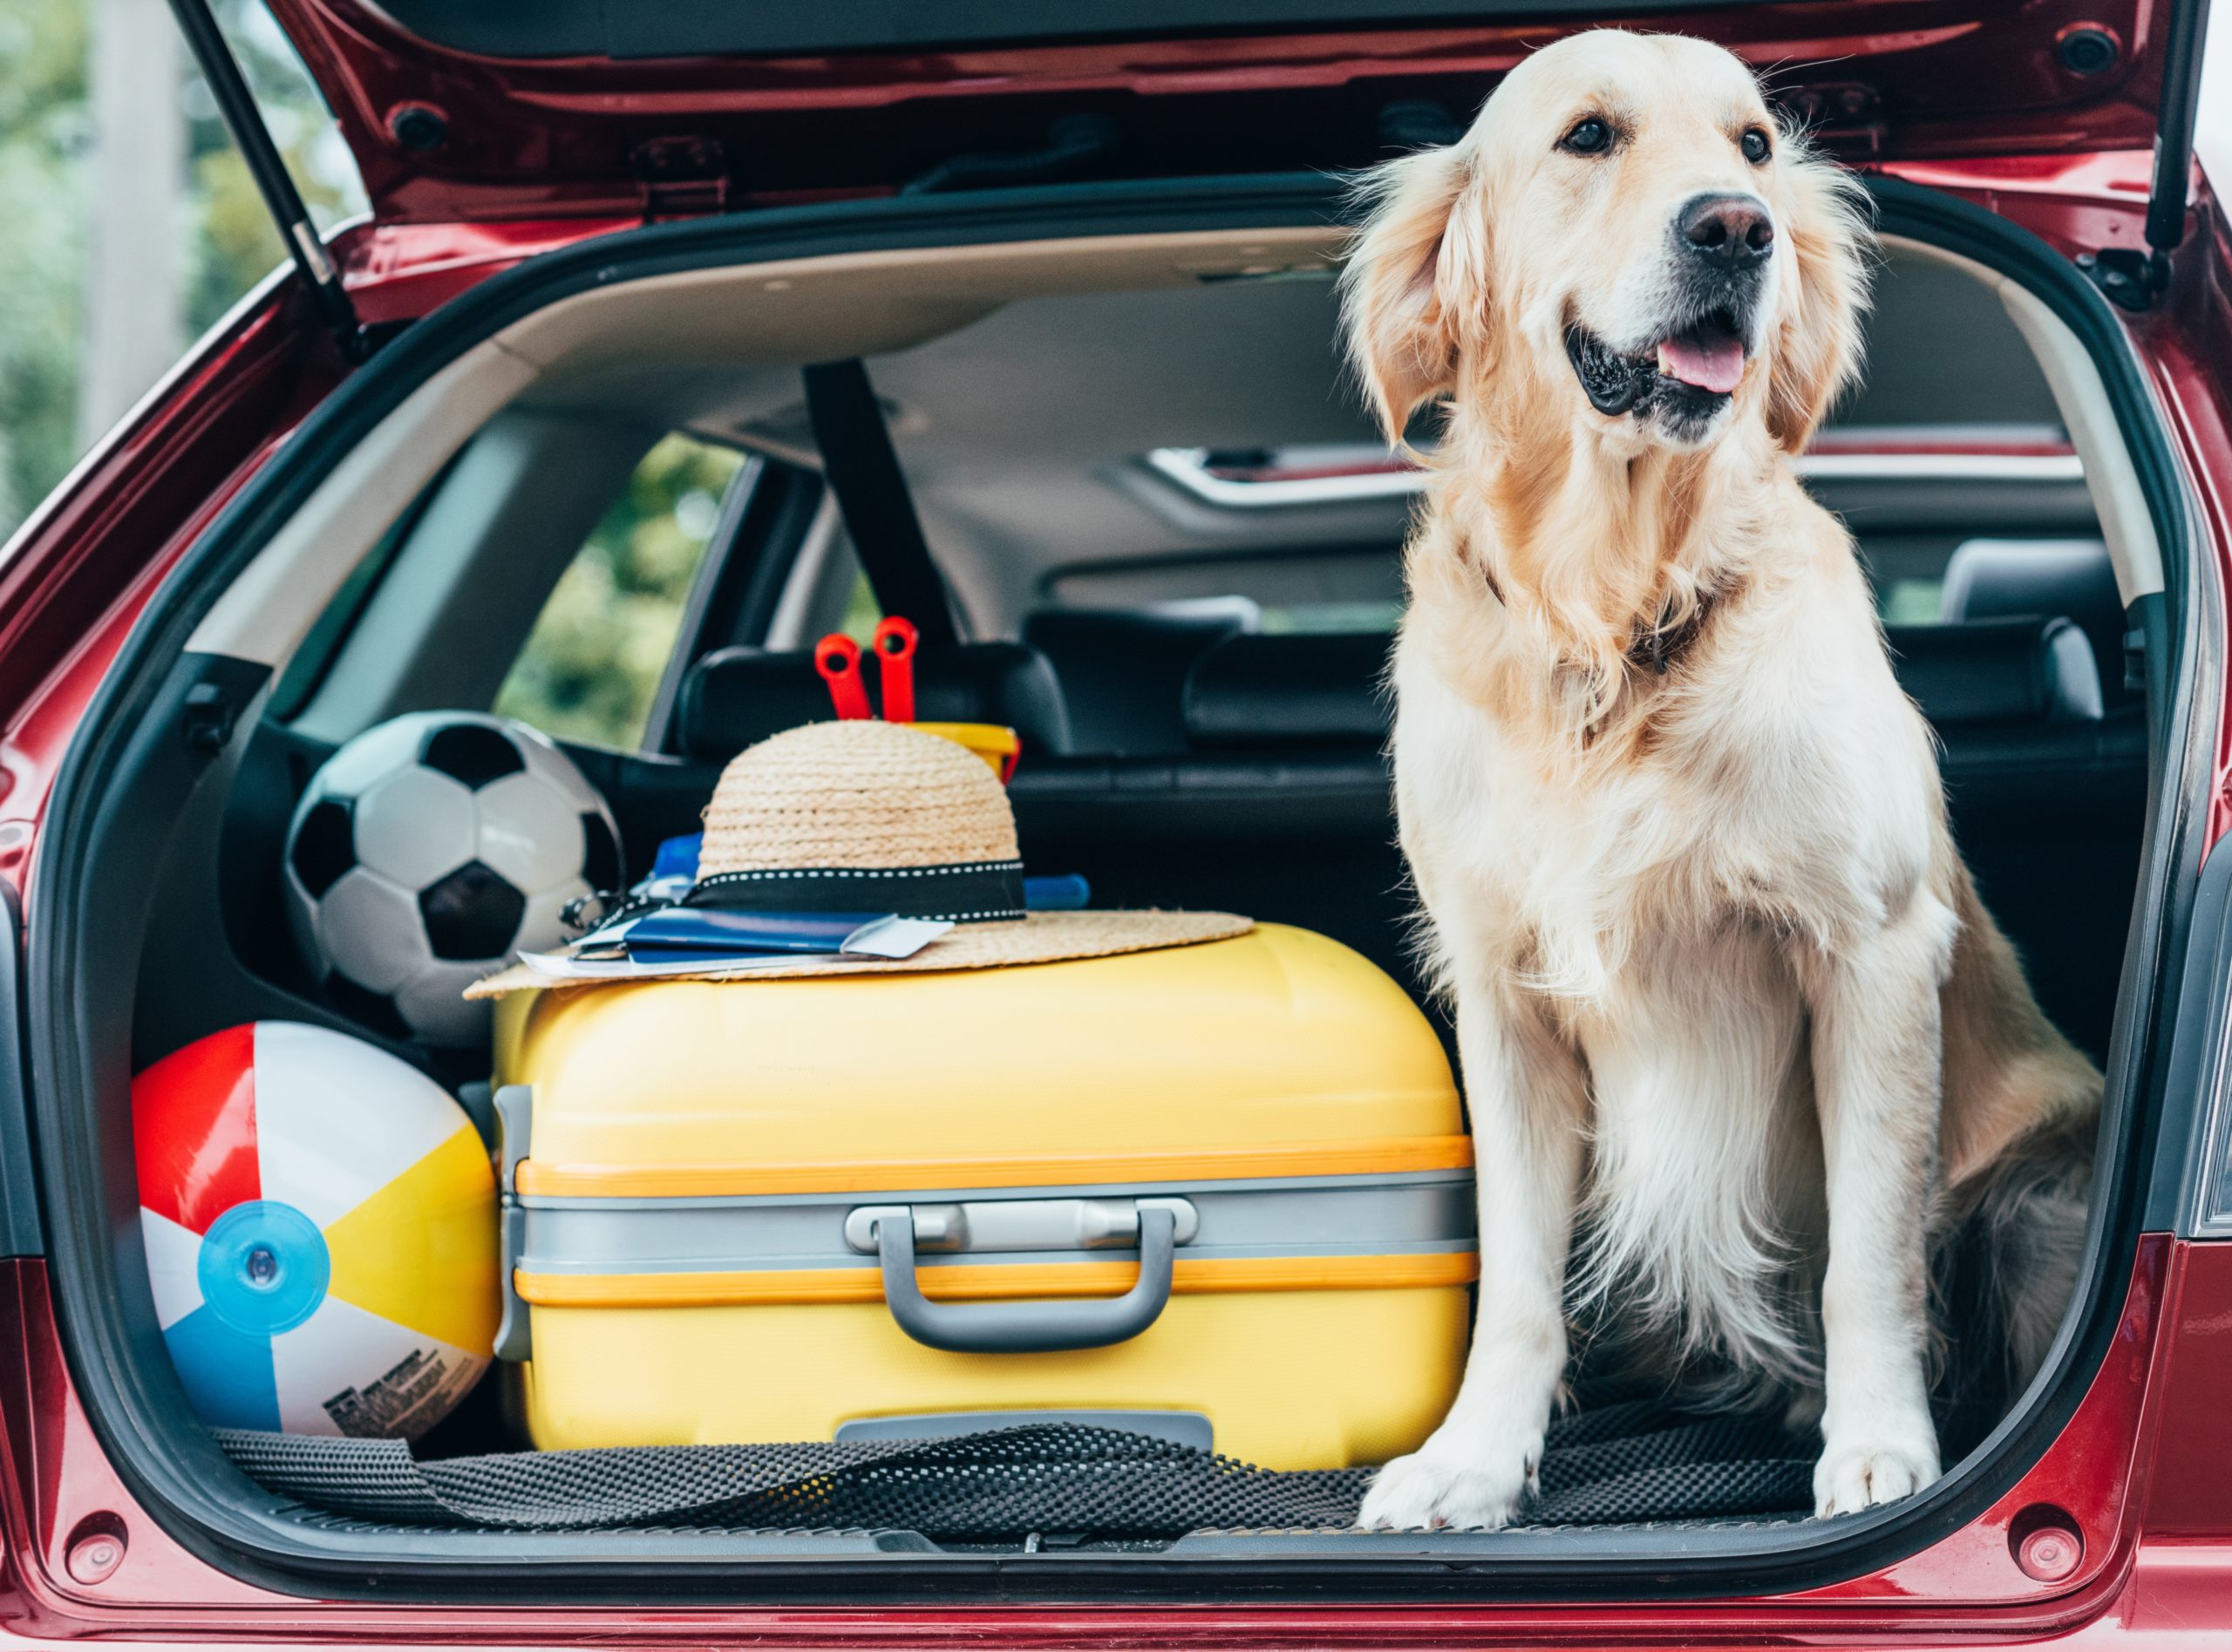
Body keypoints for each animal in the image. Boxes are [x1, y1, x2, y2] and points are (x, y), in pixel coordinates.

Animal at [1339, 29, 2106, 1526]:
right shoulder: (1503, 992)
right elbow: (1516, 1278)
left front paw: (1881, 1444)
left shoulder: (1868, 951)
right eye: (1589, 135)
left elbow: (1870, 1254)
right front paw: (1474, 1457)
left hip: (2040, 1190)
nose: (1737, 229)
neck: (1615, 616)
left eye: (1753, 144)